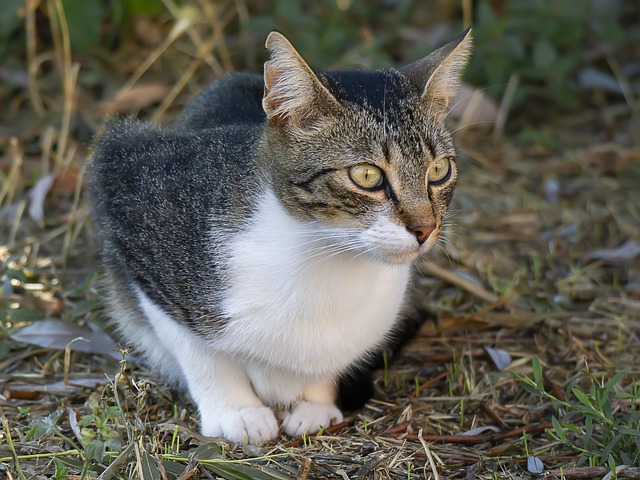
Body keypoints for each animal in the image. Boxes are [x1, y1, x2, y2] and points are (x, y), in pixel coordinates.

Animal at [86, 29, 470, 442]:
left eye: (439, 170)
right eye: (367, 175)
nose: (424, 228)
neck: (325, 257)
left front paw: (315, 402)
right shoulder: (132, 196)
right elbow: (197, 349)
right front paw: (236, 411)